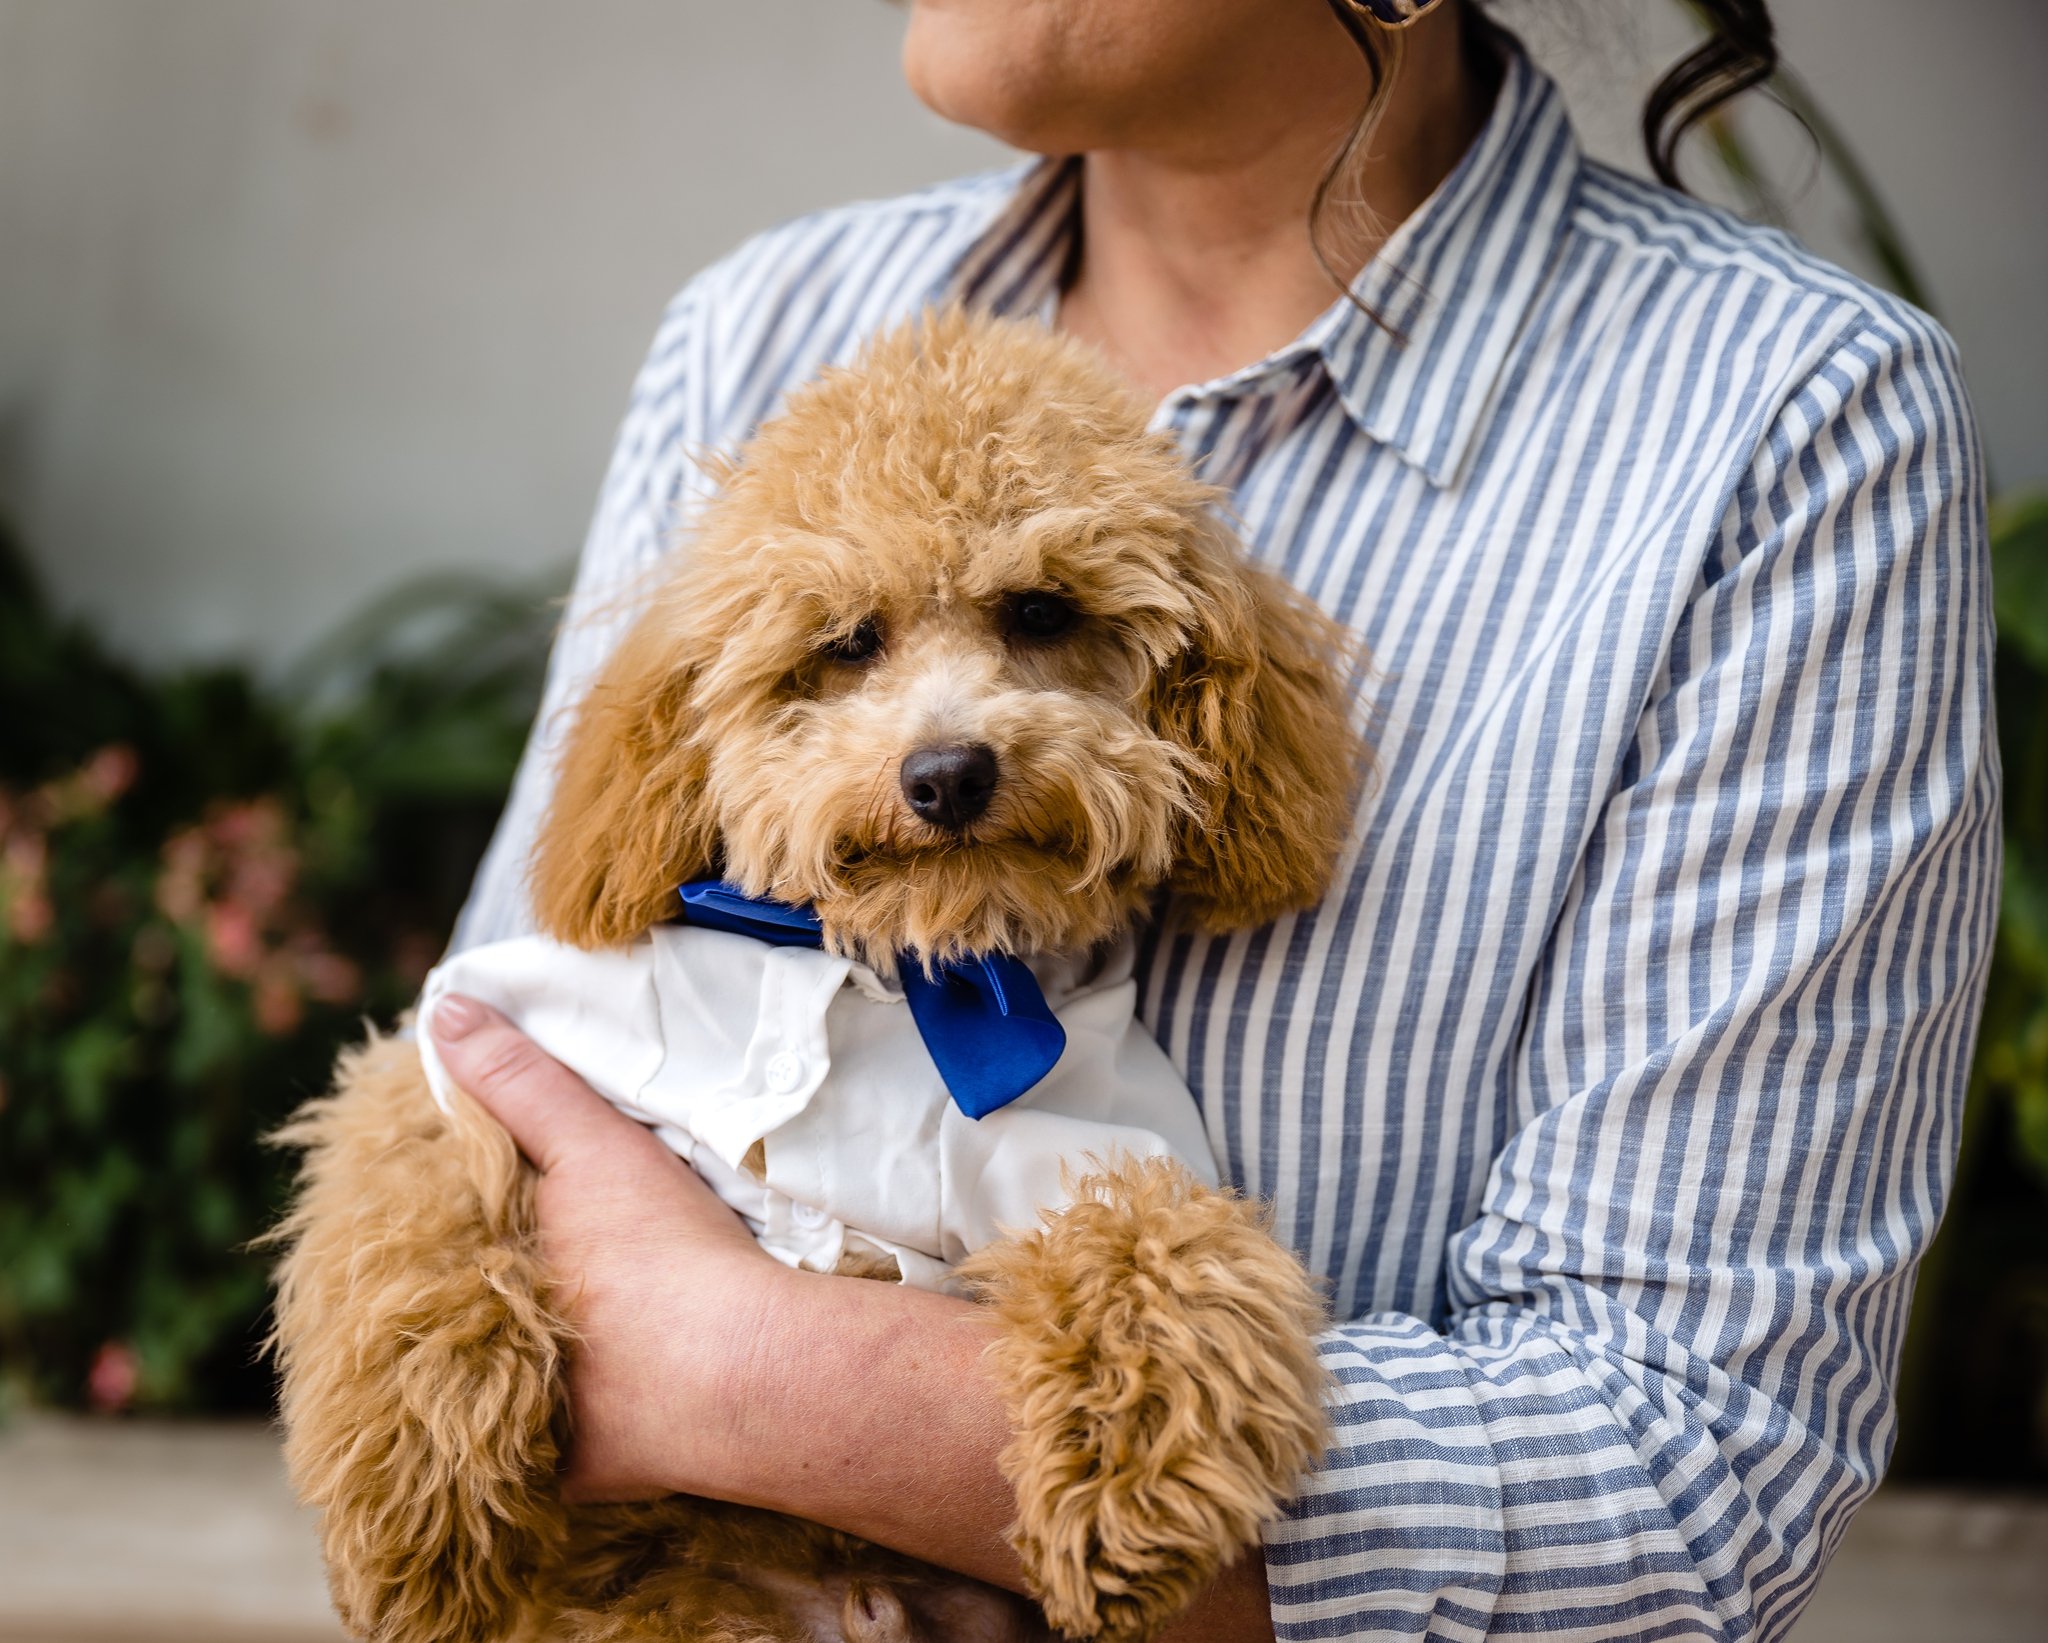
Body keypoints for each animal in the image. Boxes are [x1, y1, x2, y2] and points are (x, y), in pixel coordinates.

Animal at [268, 307, 1359, 1638]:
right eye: (845, 642)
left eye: (1041, 612)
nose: (945, 772)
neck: (905, 968)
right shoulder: (485, 1025)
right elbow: (412, 1186)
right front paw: (414, 1497)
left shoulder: (1082, 1141)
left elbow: (1159, 1234)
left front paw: (1132, 1469)